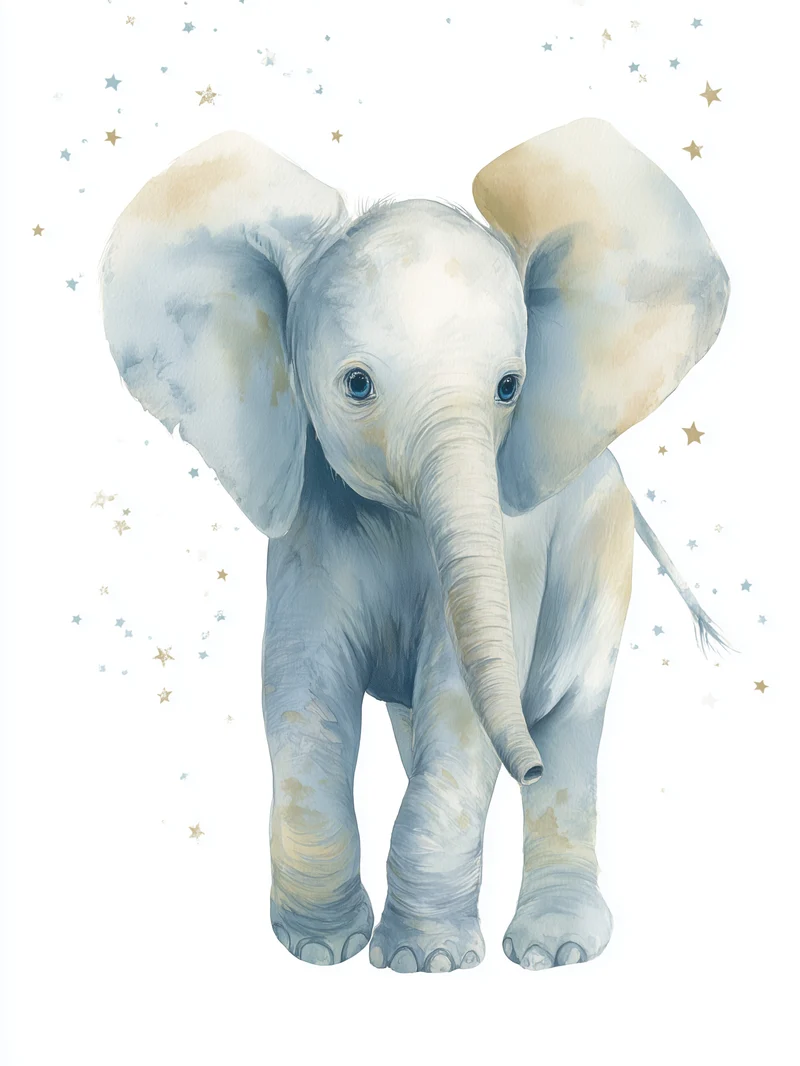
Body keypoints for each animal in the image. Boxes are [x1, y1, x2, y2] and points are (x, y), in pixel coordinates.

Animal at [101, 118, 729, 973]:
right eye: (357, 384)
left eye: (509, 387)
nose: (523, 761)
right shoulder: (311, 526)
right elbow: (302, 694)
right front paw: (321, 947)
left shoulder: (511, 541)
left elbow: (459, 704)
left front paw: (422, 964)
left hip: (602, 546)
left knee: (569, 715)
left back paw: (555, 945)